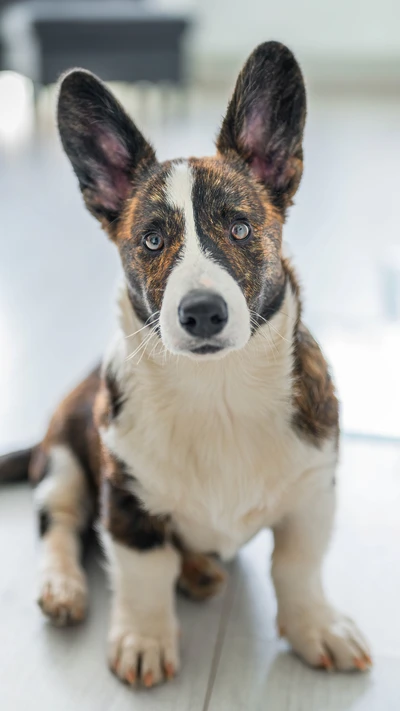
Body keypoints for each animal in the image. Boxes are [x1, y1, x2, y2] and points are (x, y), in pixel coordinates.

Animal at [0, 41, 372, 688]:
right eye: (151, 240)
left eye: (241, 227)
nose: (202, 312)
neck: (216, 391)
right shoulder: (125, 500)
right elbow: (143, 573)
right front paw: (145, 641)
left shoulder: (312, 494)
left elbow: (298, 568)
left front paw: (317, 629)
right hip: (65, 459)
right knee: (60, 525)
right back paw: (64, 588)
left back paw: (198, 571)